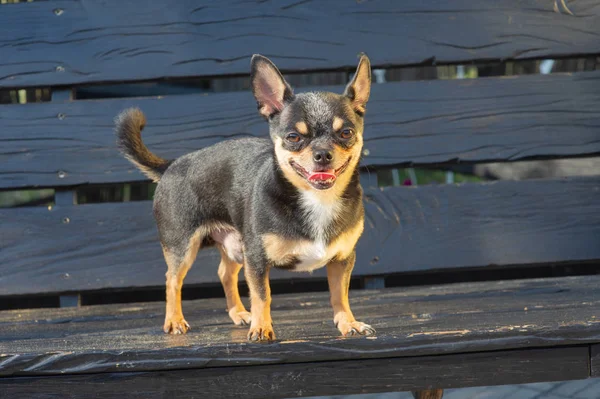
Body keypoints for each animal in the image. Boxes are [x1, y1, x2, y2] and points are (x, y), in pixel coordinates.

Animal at [115, 52, 372, 340]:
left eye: (346, 133)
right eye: (293, 137)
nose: (323, 154)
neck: (316, 199)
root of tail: (171, 165)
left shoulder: (342, 260)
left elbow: (340, 294)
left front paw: (348, 323)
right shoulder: (257, 259)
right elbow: (262, 295)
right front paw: (261, 328)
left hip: (236, 246)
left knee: (225, 273)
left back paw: (238, 313)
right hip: (183, 246)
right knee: (173, 279)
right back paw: (175, 320)